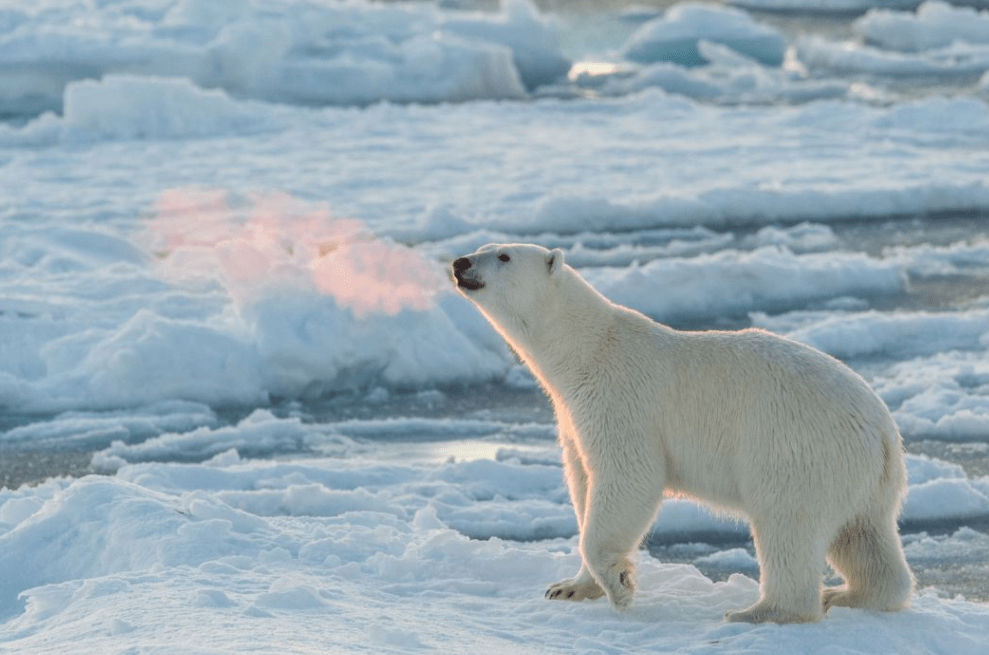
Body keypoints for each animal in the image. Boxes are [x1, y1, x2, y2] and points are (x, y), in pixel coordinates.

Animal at [452, 243, 916, 624]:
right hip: (860, 477)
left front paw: (619, 586)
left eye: (503, 256)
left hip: (796, 448)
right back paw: (848, 595)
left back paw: (762, 611)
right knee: (864, 536)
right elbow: (583, 483)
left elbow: (629, 478)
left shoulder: (620, 400)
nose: (460, 263)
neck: (585, 350)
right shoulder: (572, 416)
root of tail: (882, 431)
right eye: (482, 246)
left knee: (788, 525)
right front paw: (569, 587)